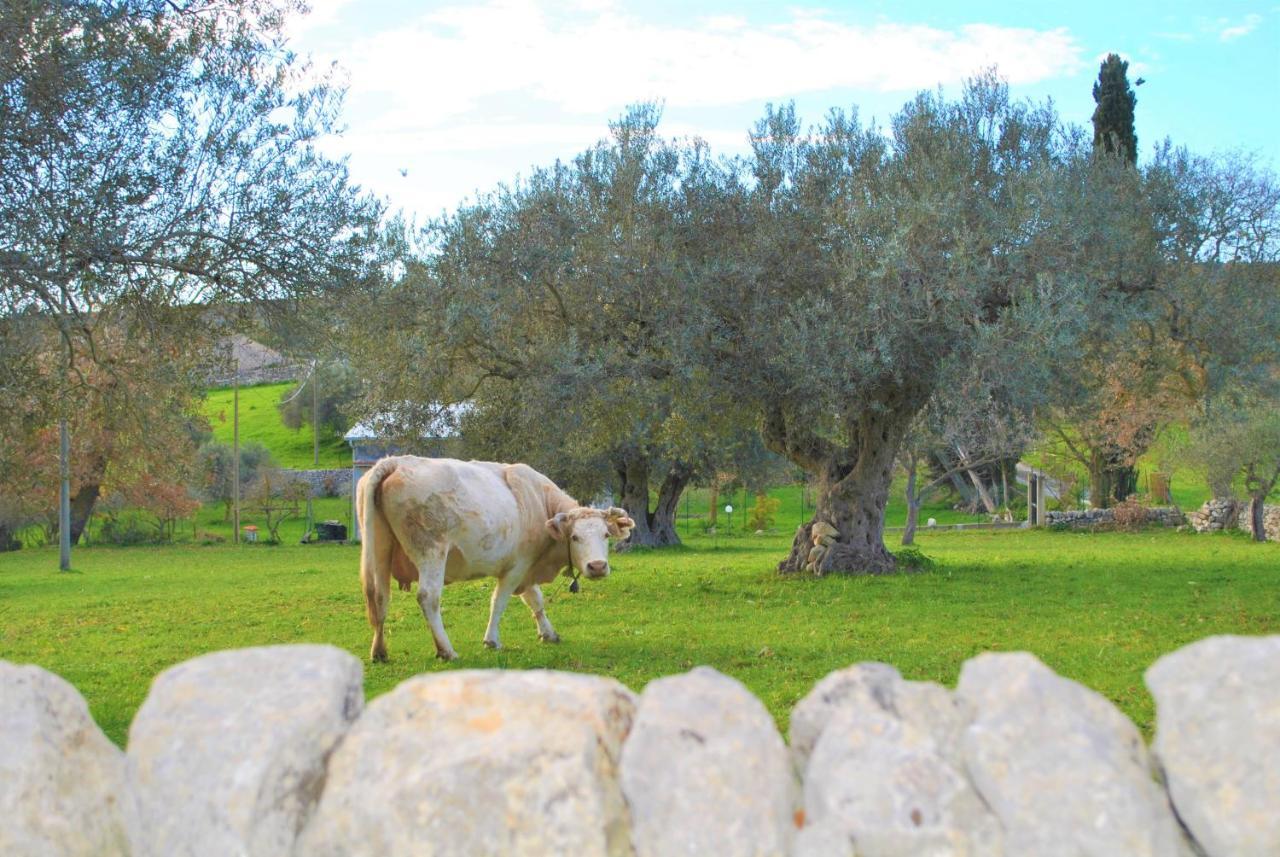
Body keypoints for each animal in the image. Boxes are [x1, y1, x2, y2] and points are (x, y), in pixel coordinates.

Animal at [355, 455, 634, 665]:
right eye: (575, 537)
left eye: (606, 534)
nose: (597, 566)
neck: (539, 501)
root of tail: (395, 462)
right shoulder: (517, 566)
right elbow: (499, 602)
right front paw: (491, 640)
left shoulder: (527, 568)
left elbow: (535, 600)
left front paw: (548, 633)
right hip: (431, 552)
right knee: (428, 598)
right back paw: (446, 650)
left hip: (379, 550)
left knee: (380, 598)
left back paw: (379, 651)